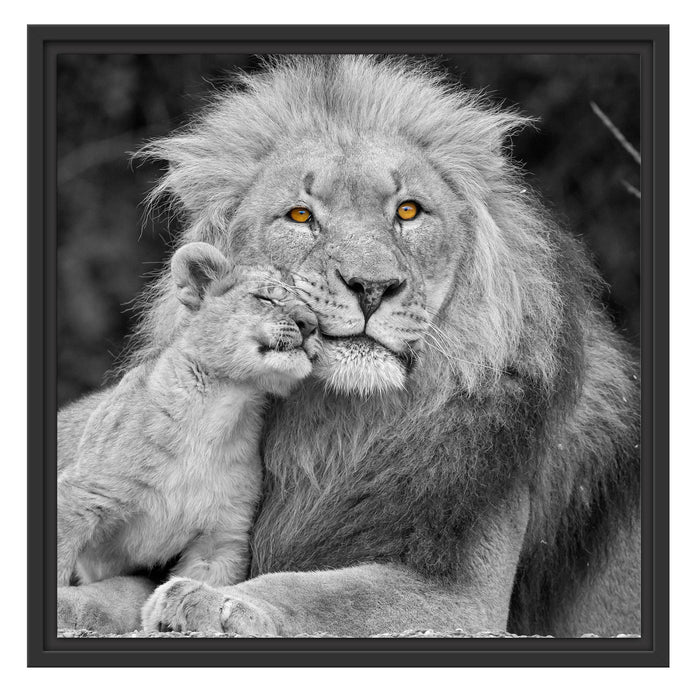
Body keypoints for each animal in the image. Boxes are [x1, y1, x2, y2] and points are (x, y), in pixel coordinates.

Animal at [58, 241, 319, 589]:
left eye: (314, 311)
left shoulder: (221, 538)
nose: (311, 325)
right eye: (266, 297)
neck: (221, 412)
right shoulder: (79, 496)